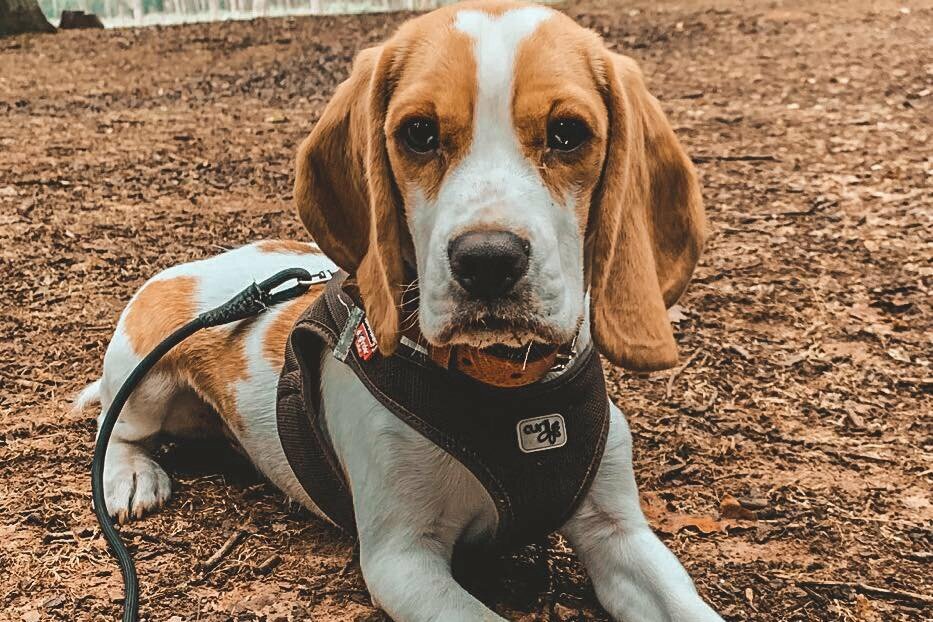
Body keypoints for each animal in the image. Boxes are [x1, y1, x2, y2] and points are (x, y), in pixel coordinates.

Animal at [80, 2, 720, 620]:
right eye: (418, 133)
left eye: (567, 133)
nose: (488, 260)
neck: (507, 389)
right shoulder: (404, 559)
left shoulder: (619, 533)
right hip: (145, 380)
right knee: (113, 427)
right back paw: (132, 476)